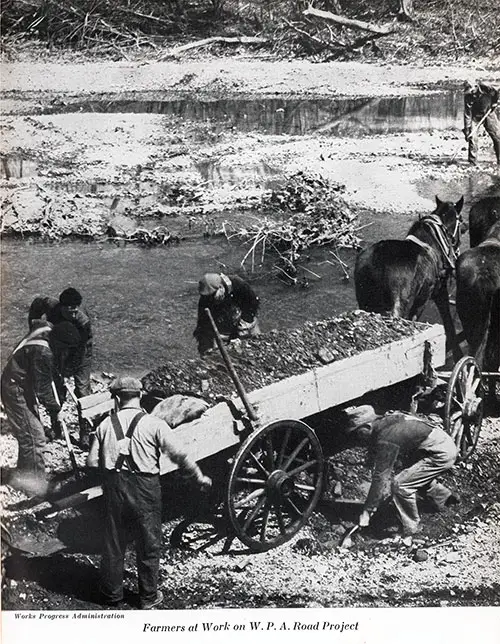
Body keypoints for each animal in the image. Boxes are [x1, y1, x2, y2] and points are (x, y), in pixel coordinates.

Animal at [354, 195, 466, 358]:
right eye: (461, 220)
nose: (466, 228)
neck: (433, 243)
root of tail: (376, 260)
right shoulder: (433, 294)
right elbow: (445, 321)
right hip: (398, 305)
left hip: (366, 302)